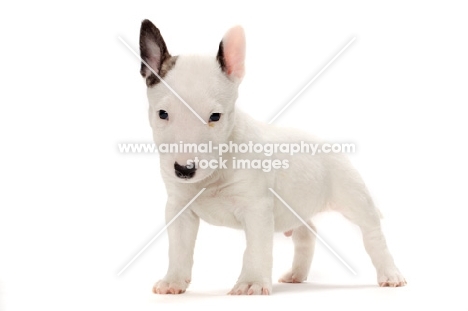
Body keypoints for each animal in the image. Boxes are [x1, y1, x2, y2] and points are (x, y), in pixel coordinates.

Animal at [139, 20, 406, 298]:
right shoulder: (178, 208)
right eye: (162, 113)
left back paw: (390, 275)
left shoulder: (256, 208)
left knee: (372, 234)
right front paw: (173, 281)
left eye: (215, 116)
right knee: (307, 233)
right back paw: (296, 274)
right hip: (299, 206)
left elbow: (255, 249)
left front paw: (251, 283)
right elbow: (178, 248)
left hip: (354, 197)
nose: (184, 170)